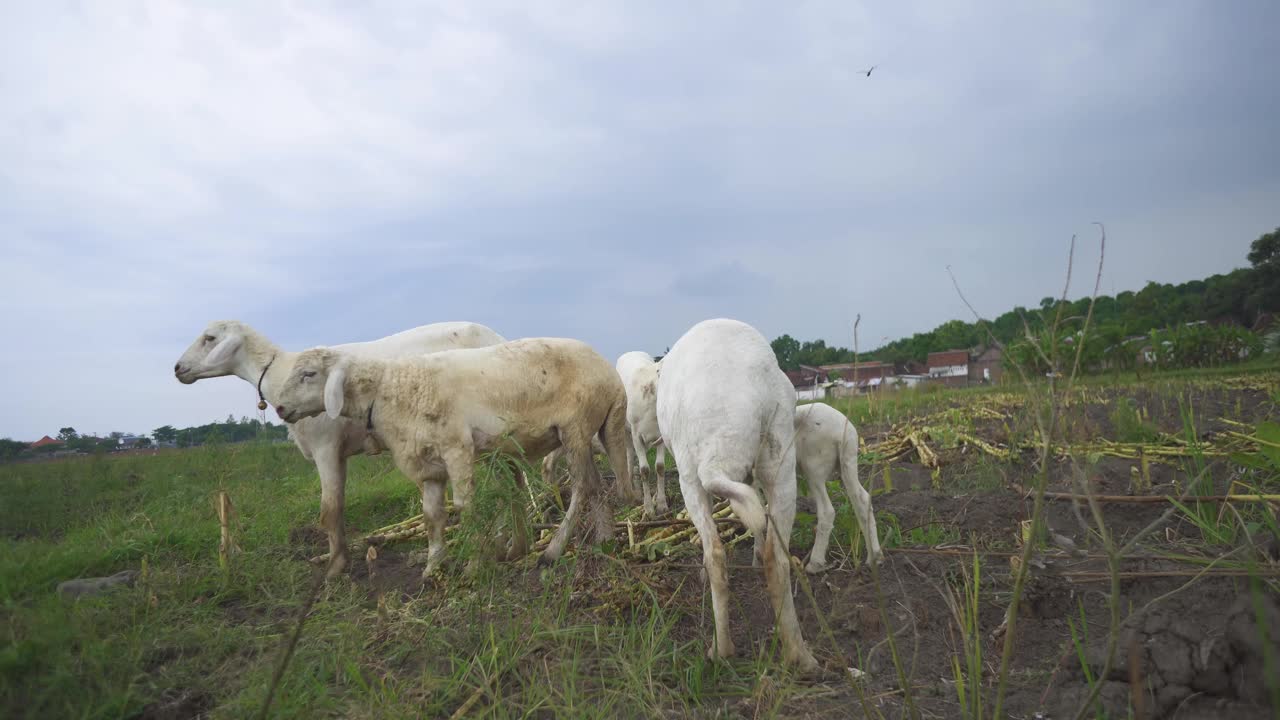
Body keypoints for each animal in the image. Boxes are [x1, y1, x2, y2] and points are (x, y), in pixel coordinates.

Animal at [175, 316, 504, 573]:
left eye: (209, 338)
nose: (178, 369)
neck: (278, 373)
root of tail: (496, 336)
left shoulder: (325, 447)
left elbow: (329, 510)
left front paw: (335, 568)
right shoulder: (339, 453)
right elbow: (339, 507)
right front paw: (339, 556)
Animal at [276, 338, 645, 576]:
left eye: (309, 374)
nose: (278, 408)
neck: (391, 389)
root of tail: (610, 376)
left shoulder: (457, 449)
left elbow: (465, 508)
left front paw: (474, 565)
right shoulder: (428, 464)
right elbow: (432, 516)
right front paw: (433, 566)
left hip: (575, 427)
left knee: (582, 487)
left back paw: (553, 550)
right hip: (590, 428)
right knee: (596, 486)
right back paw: (605, 541)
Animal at [660, 316, 819, 671]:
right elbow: (758, 515)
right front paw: (757, 552)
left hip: (689, 475)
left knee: (715, 554)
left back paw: (721, 650)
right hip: (780, 457)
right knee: (777, 556)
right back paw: (799, 655)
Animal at [788, 399, 880, 568]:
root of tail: (843, 432)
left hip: (813, 467)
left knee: (827, 511)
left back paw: (815, 563)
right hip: (847, 462)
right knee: (863, 499)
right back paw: (875, 556)